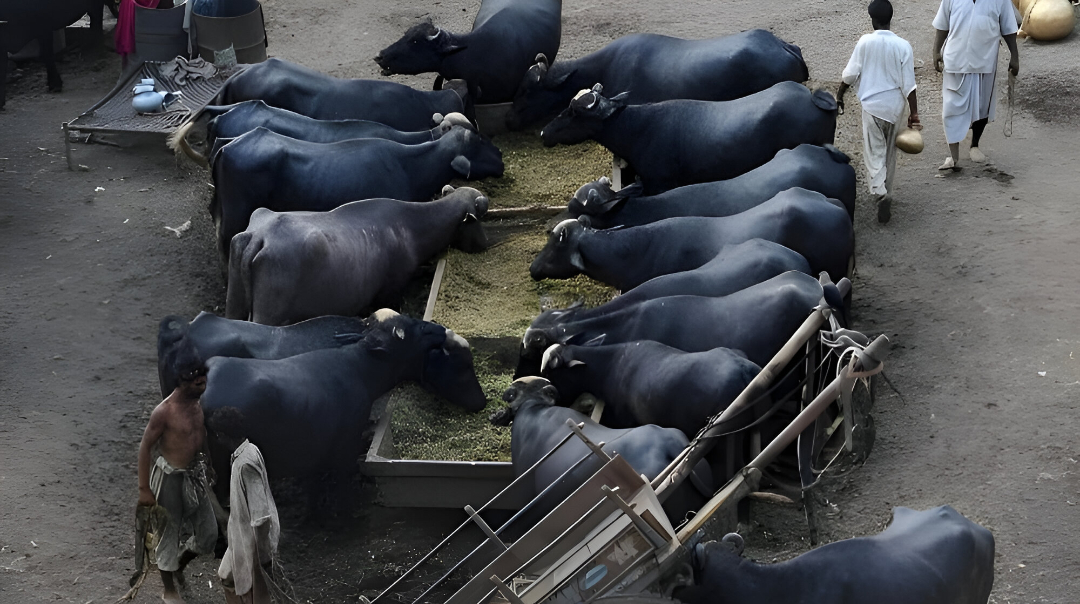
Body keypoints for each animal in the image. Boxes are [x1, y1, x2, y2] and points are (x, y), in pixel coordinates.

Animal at [226, 186, 490, 326]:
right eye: (480, 218)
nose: (485, 244)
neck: (411, 227)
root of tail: (259, 236)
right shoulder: (392, 291)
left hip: (234, 303)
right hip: (268, 316)